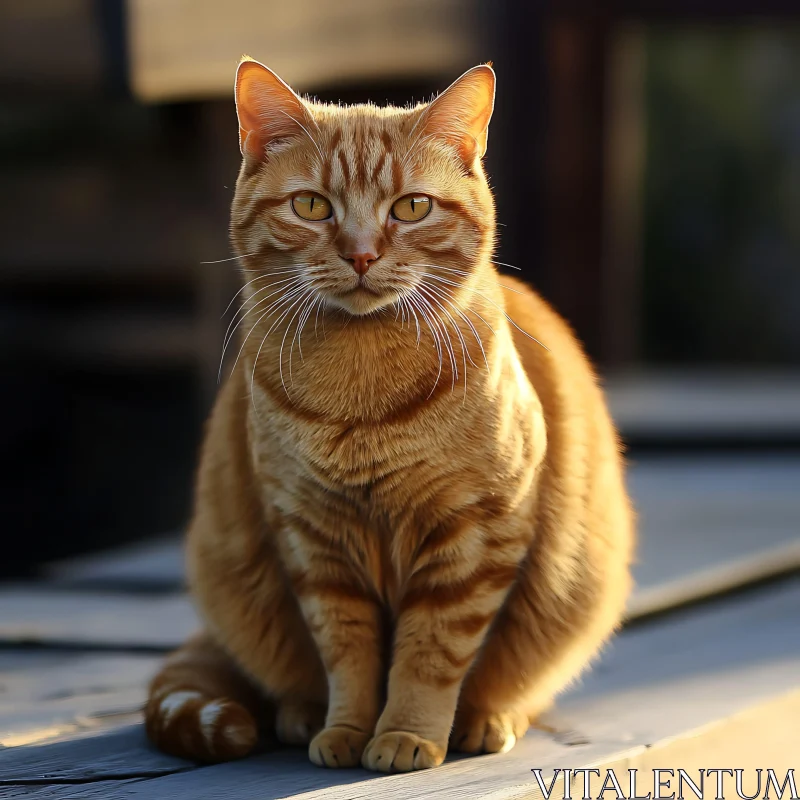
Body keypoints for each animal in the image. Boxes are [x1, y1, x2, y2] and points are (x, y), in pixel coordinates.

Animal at [144, 59, 632, 772]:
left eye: (412, 208)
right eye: (311, 206)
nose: (362, 254)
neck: (360, 392)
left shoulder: (475, 533)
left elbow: (429, 655)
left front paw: (407, 736)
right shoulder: (315, 542)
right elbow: (347, 655)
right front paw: (345, 729)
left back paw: (486, 719)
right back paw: (301, 714)